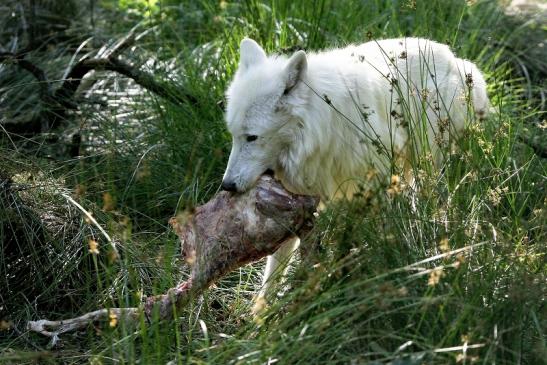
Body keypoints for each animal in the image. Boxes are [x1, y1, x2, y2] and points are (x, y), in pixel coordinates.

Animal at [220, 37, 490, 310]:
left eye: (252, 138)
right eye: (233, 135)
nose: (227, 185)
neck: (322, 129)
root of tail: (454, 59)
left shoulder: (374, 189)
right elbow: (276, 267)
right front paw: (262, 313)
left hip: (427, 163)